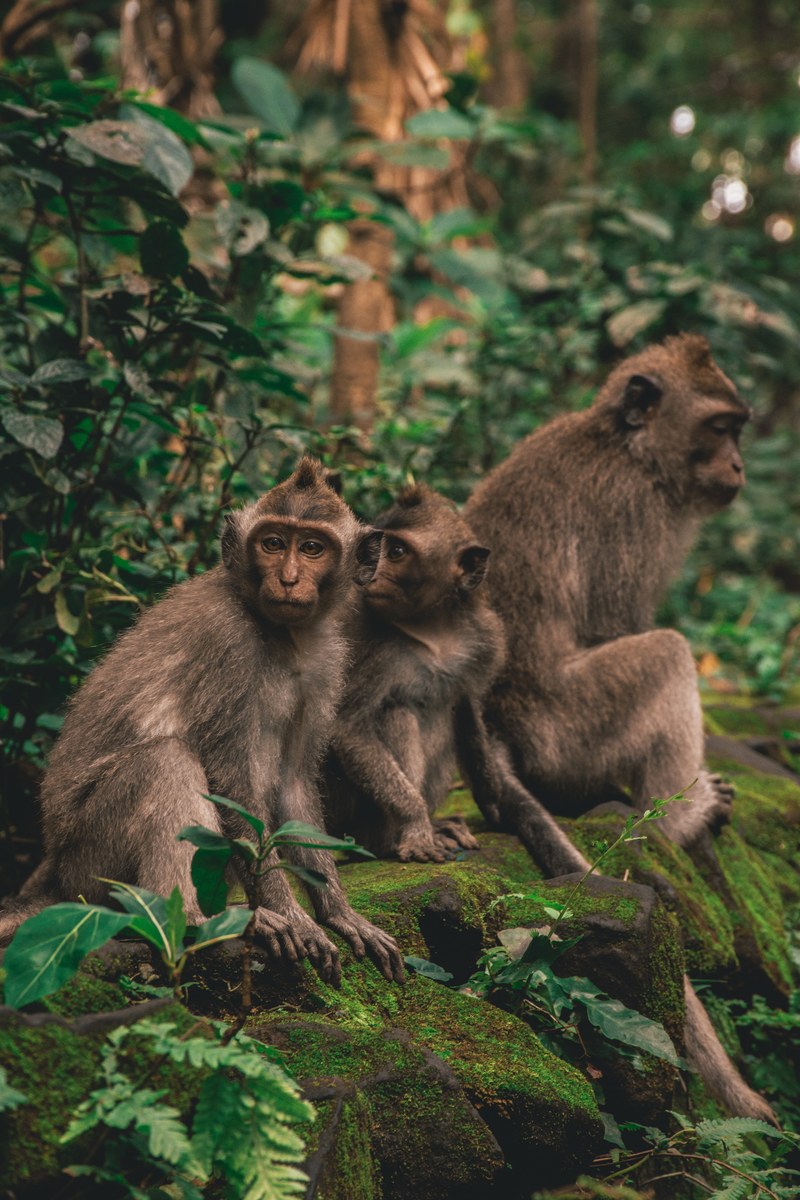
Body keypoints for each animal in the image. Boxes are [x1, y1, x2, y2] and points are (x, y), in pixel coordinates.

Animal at [0, 458, 404, 986]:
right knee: (164, 761)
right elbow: (232, 784)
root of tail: (56, 876)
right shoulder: (227, 644)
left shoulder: (327, 664)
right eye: (273, 543)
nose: (289, 578)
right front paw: (290, 913)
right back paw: (195, 920)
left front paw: (338, 912)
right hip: (91, 861)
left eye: (312, 548)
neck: (282, 634)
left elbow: (293, 784)